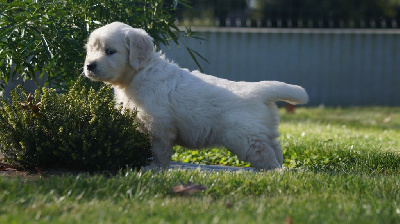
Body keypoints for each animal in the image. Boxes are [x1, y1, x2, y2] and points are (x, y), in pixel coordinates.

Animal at [83, 22, 310, 170]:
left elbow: (159, 150)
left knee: (265, 155)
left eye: (110, 51)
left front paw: (157, 167)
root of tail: (258, 90)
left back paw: (271, 173)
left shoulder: (160, 125)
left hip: (243, 137)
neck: (139, 74)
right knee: (276, 149)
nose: (89, 65)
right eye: (90, 50)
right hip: (264, 131)